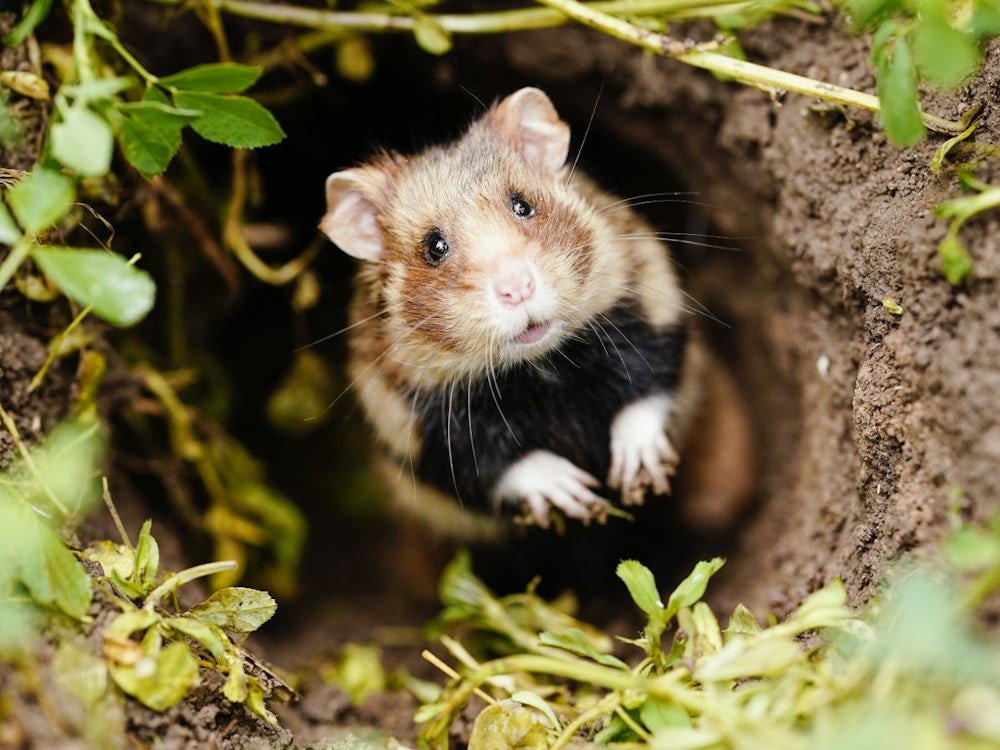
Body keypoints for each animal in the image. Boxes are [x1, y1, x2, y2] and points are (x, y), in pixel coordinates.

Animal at [318, 88, 752, 536]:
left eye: (522, 205)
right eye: (433, 247)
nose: (517, 288)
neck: (542, 369)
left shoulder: (652, 297)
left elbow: (649, 386)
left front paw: (633, 470)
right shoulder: (413, 421)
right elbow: (495, 466)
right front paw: (576, 493)